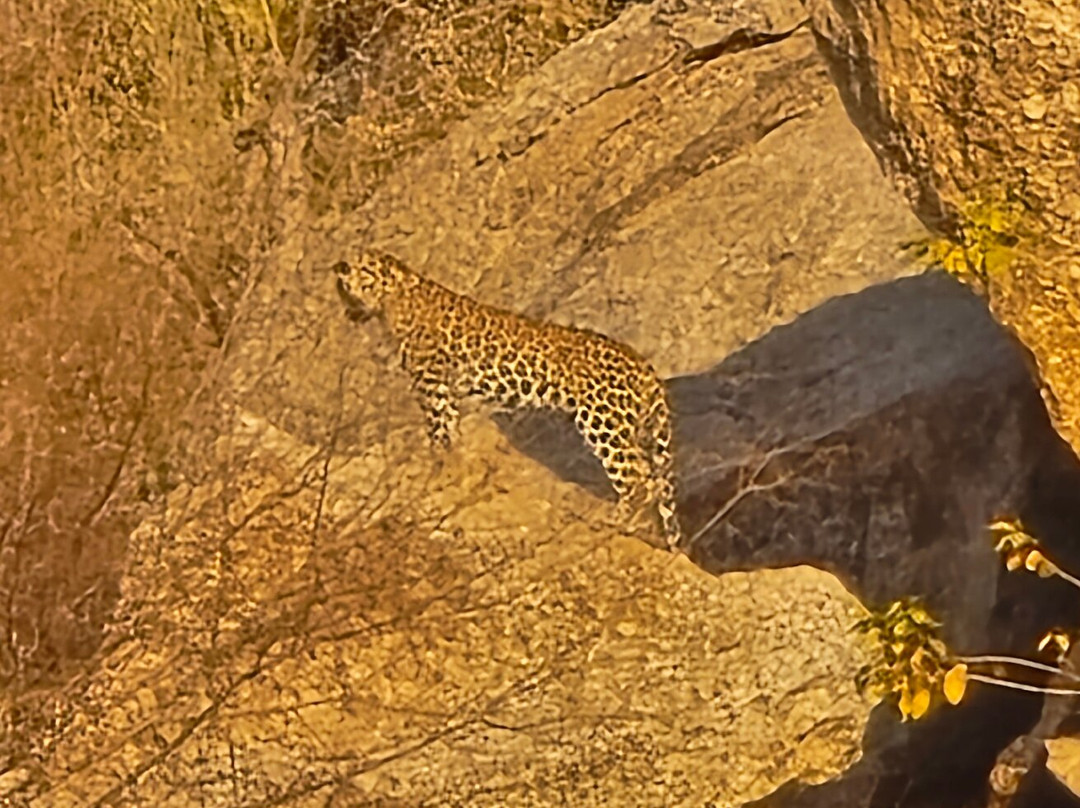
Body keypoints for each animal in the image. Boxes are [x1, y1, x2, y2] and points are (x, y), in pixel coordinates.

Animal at [332, 249, 681, 550]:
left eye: (362, 268)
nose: (340, 269)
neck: (392, 298)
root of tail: (647, 368)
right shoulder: (443, 387)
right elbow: (450, 430)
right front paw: (451, 471)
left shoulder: (430, 381)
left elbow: (438, 430)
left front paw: (437, 471)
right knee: (654, 481)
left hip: (602, 420)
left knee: (639, 477)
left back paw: (613, 521)